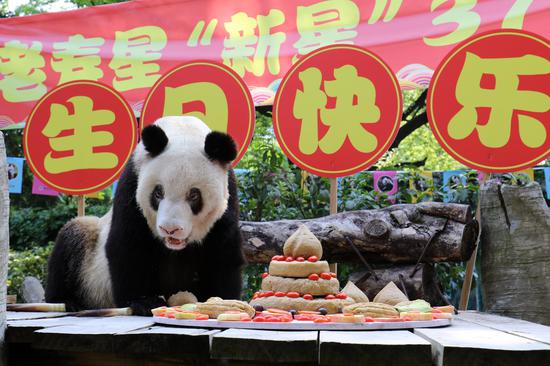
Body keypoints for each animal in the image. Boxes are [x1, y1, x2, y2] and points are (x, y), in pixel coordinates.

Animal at [45, 116, 246, 314]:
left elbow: (222, 253)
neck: (183, 130)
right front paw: (144, 301)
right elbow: (128, 245)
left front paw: (221, 300)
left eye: (194, 195)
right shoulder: (132, 184)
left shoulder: (228, 197)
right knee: (72, 238)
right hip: (90, 265)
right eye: (158, 193)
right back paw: (66, 301)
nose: (170, 229)